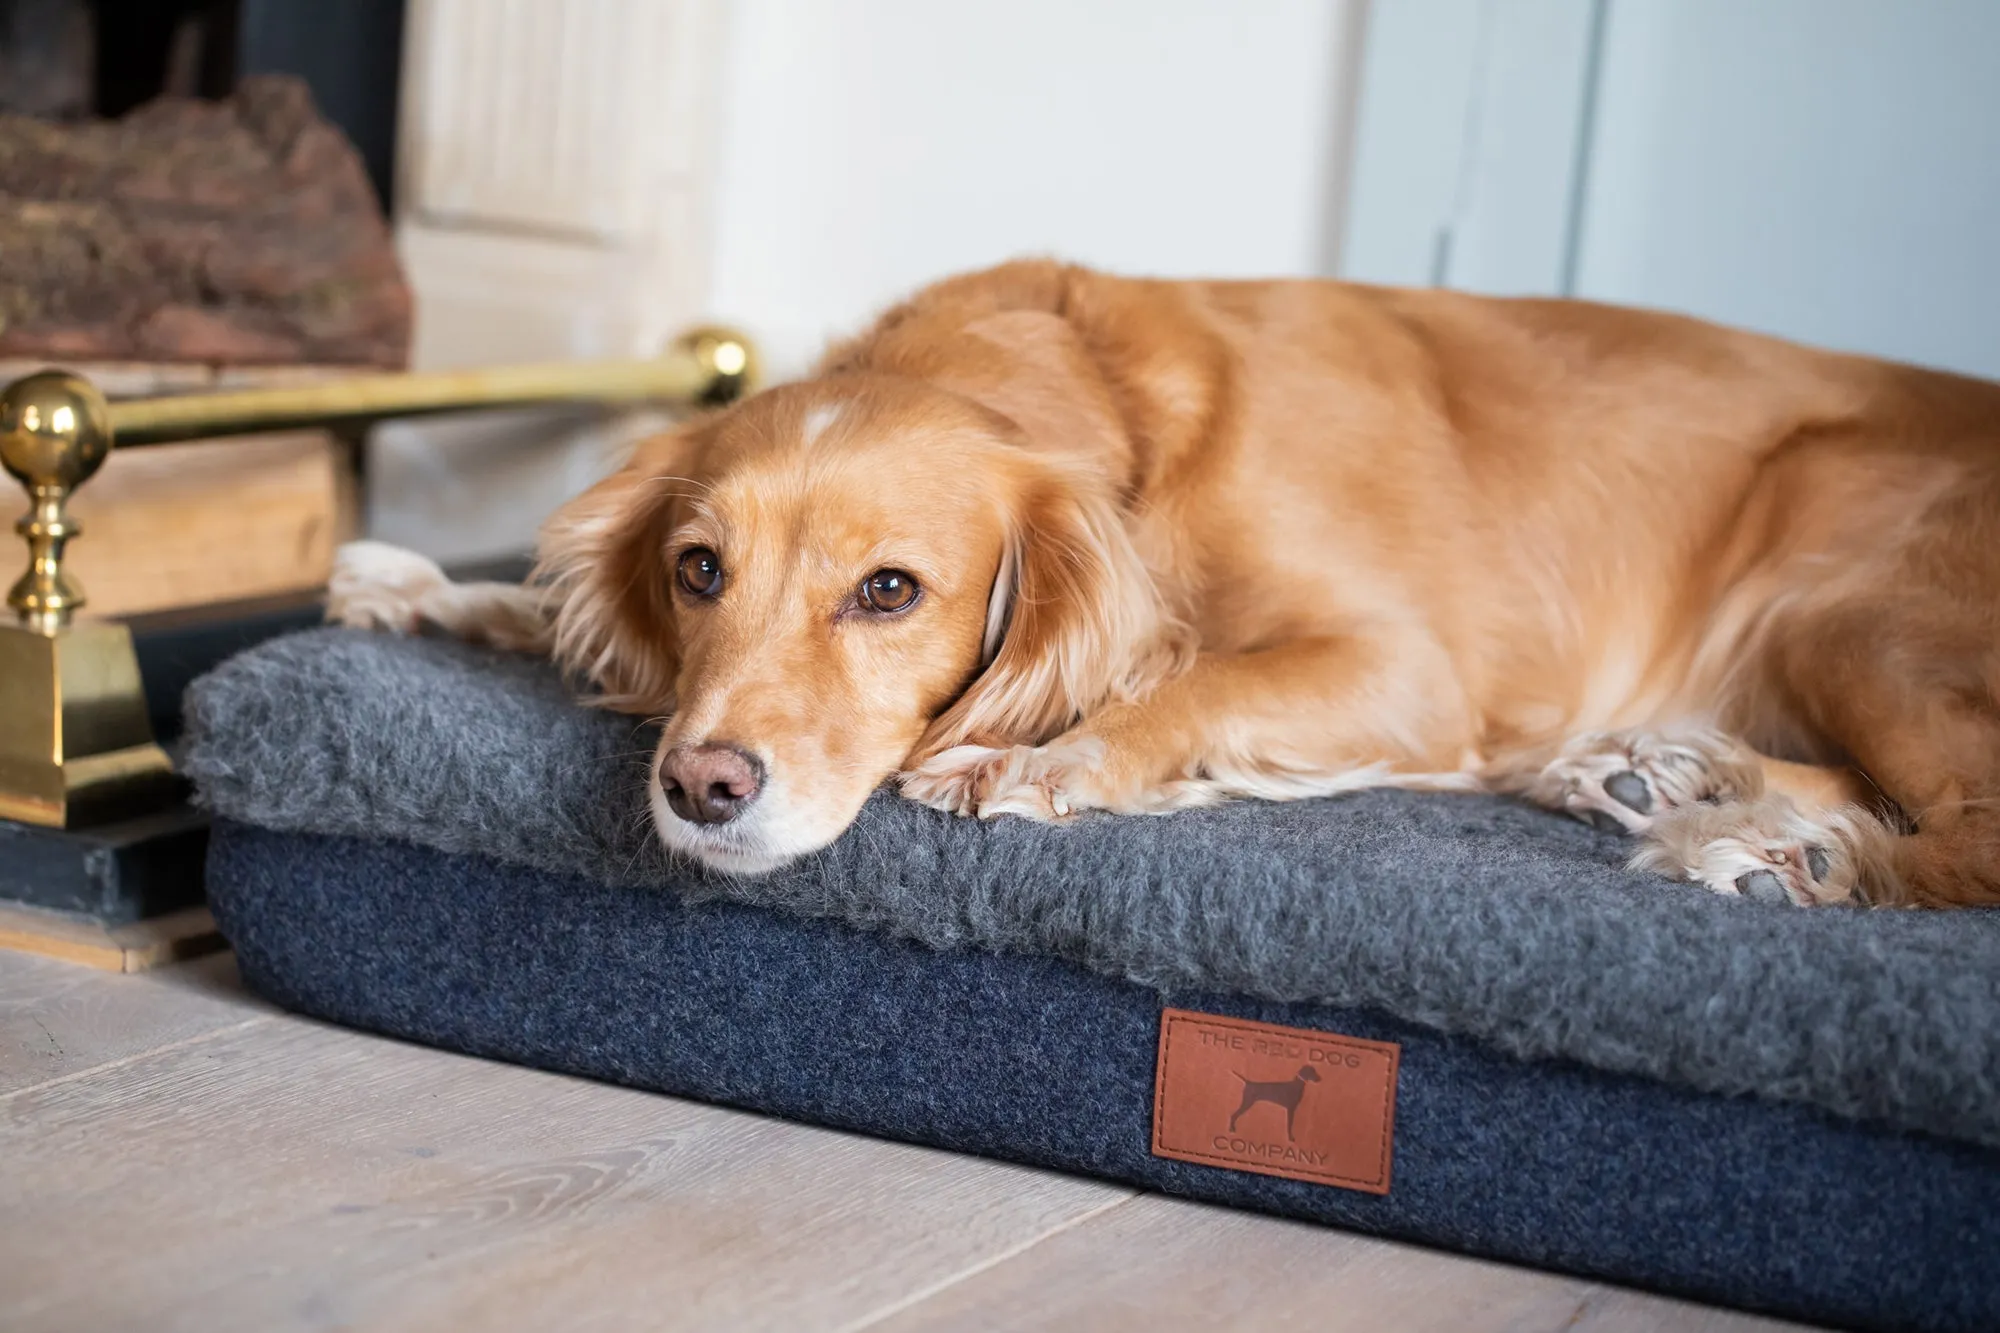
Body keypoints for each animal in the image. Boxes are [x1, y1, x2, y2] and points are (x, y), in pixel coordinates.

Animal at [336, 260, 2000, 904]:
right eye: (697, 570)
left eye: (889, 592)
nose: (704, 789)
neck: (1129, 435)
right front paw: (423, 583)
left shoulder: (1405, 667)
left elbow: (1197, 683)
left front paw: (1050, 760)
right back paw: (1667, 779)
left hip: (1850, 607)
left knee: (1966, 837)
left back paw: (1783, 856)